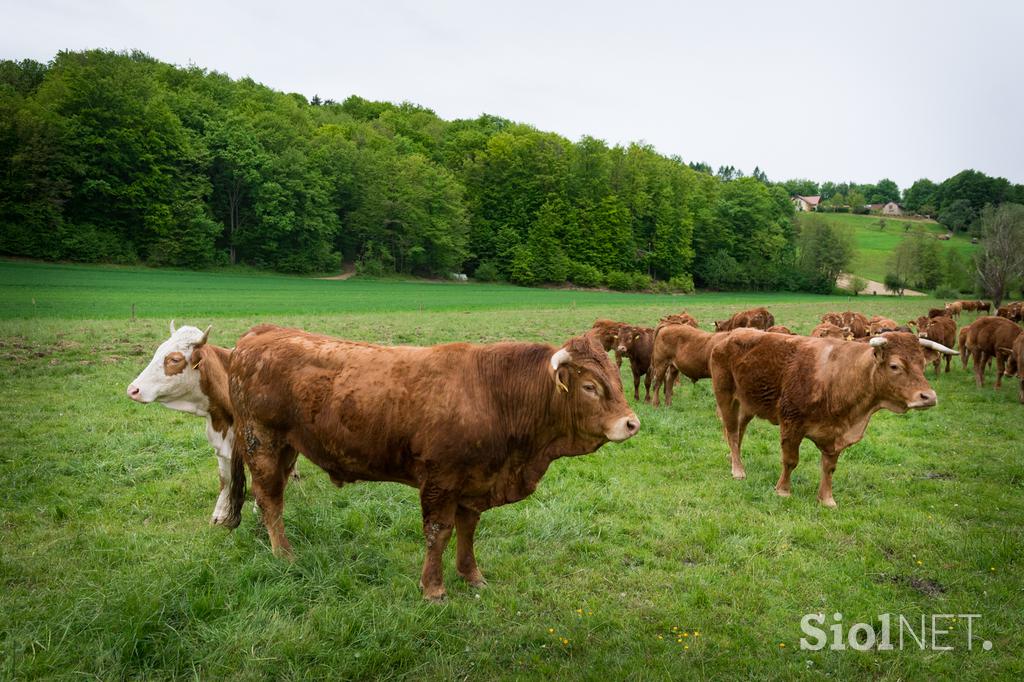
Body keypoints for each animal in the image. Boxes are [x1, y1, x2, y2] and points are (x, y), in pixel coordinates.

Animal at [227, 327, 634, 598]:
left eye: (618, 379)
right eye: (590, 387)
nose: (632, 423)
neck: (494, 394)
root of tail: (260, 333)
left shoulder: (476, 480)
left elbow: (468, 529)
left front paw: (471, 575)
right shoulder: (440, 479)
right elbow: (439, 532)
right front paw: (434, 588)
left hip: (286, 447)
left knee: (267, 496)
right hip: (261, 440)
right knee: (269, 498)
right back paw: (284, 553)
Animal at [708, 329, 954, 503]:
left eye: (922, 364)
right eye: (895, 366)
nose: (928, 397)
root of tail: (730, 335)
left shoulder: (837, 434)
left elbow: (829, 467)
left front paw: (826, 499)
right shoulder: (791, 423)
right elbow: (790, 460)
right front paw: (783, 491)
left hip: (747, 404)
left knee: (738, 431)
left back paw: (733, 458)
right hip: (725, 396)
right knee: (732, 431)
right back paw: (738, 470)